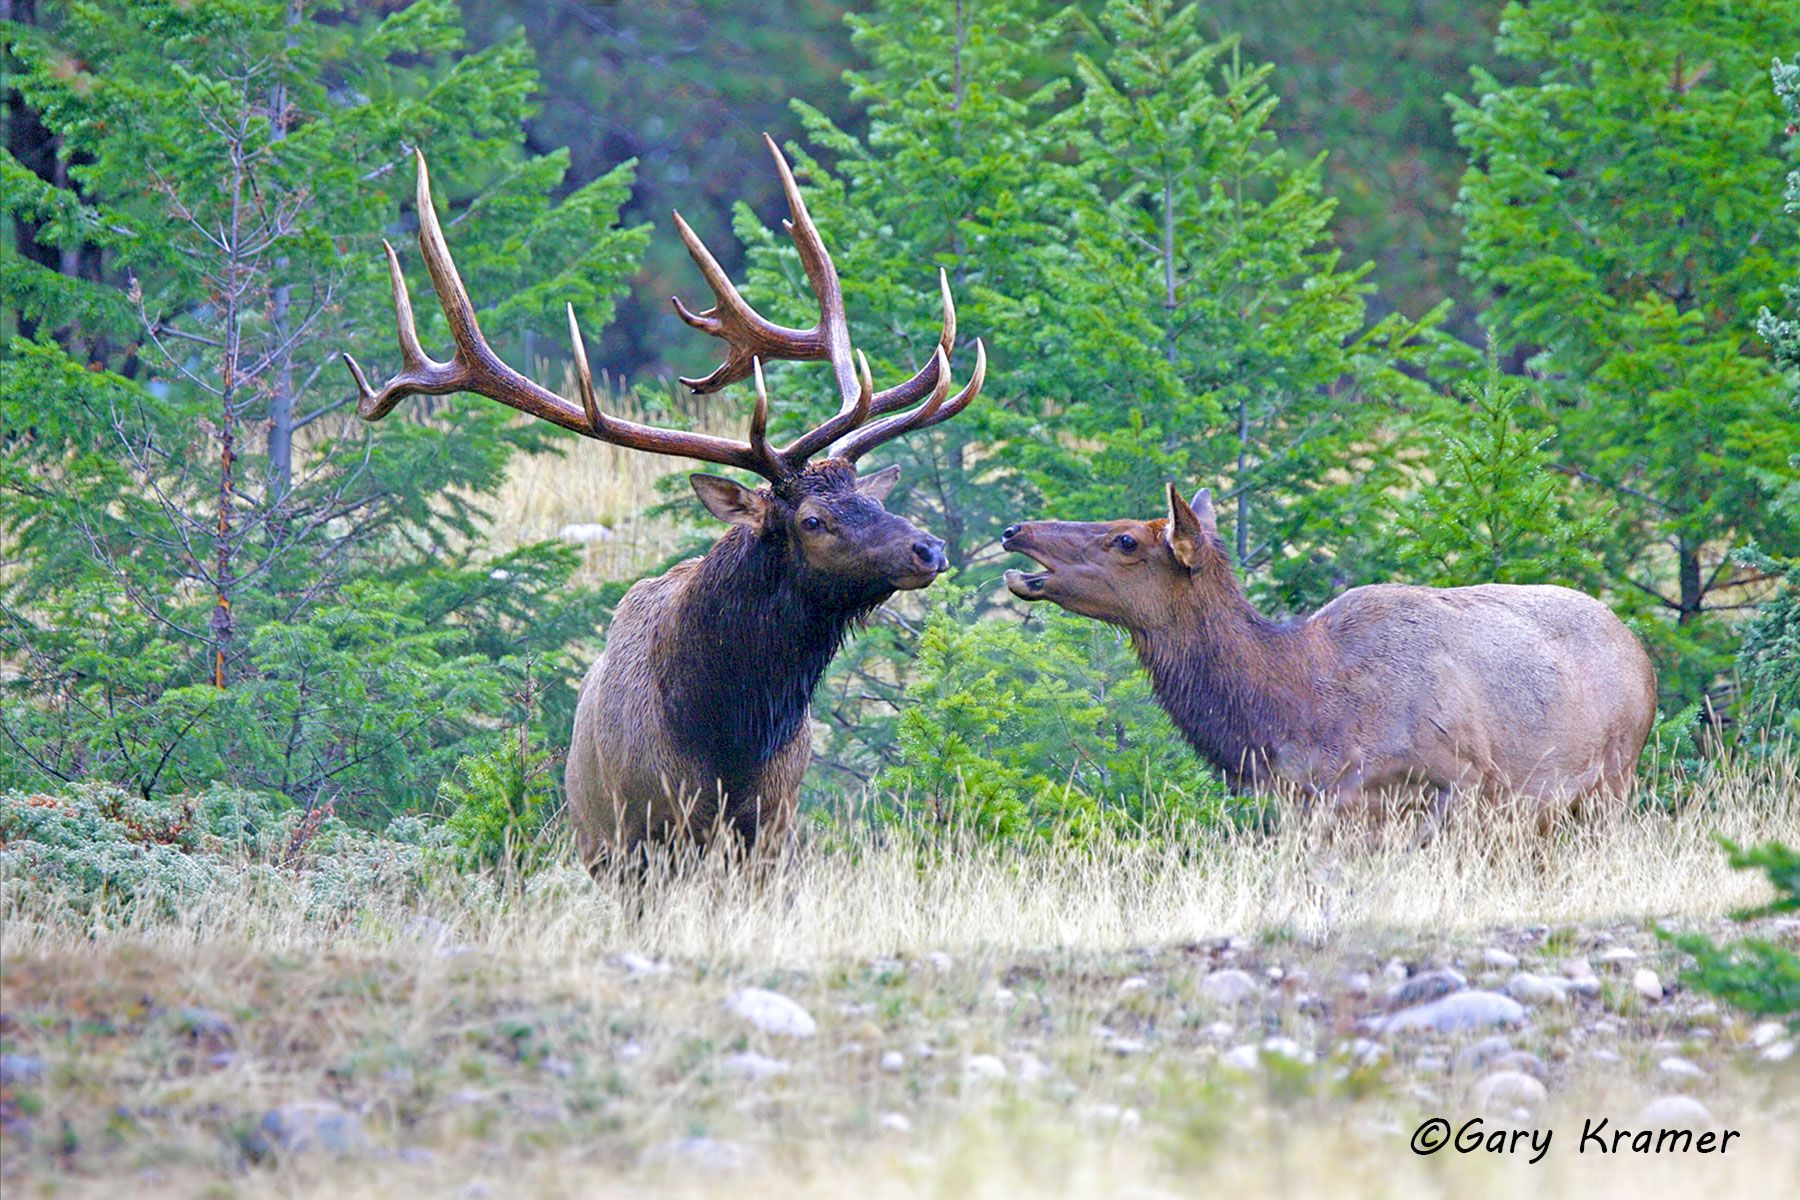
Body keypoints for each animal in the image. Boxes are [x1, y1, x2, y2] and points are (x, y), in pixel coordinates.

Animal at [342, 136, 986, 868]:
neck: (726, 736)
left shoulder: (774, 828)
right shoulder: (643, 830)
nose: (928, 547)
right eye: (813, 520)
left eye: (865, 497)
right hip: (595, 836)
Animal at [1001, 483, 1657, 823]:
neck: (1300, 714)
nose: (1015, 530)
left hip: (1612, 780)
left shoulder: (1463, 783)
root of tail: (1640, 651)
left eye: (1126, 540)